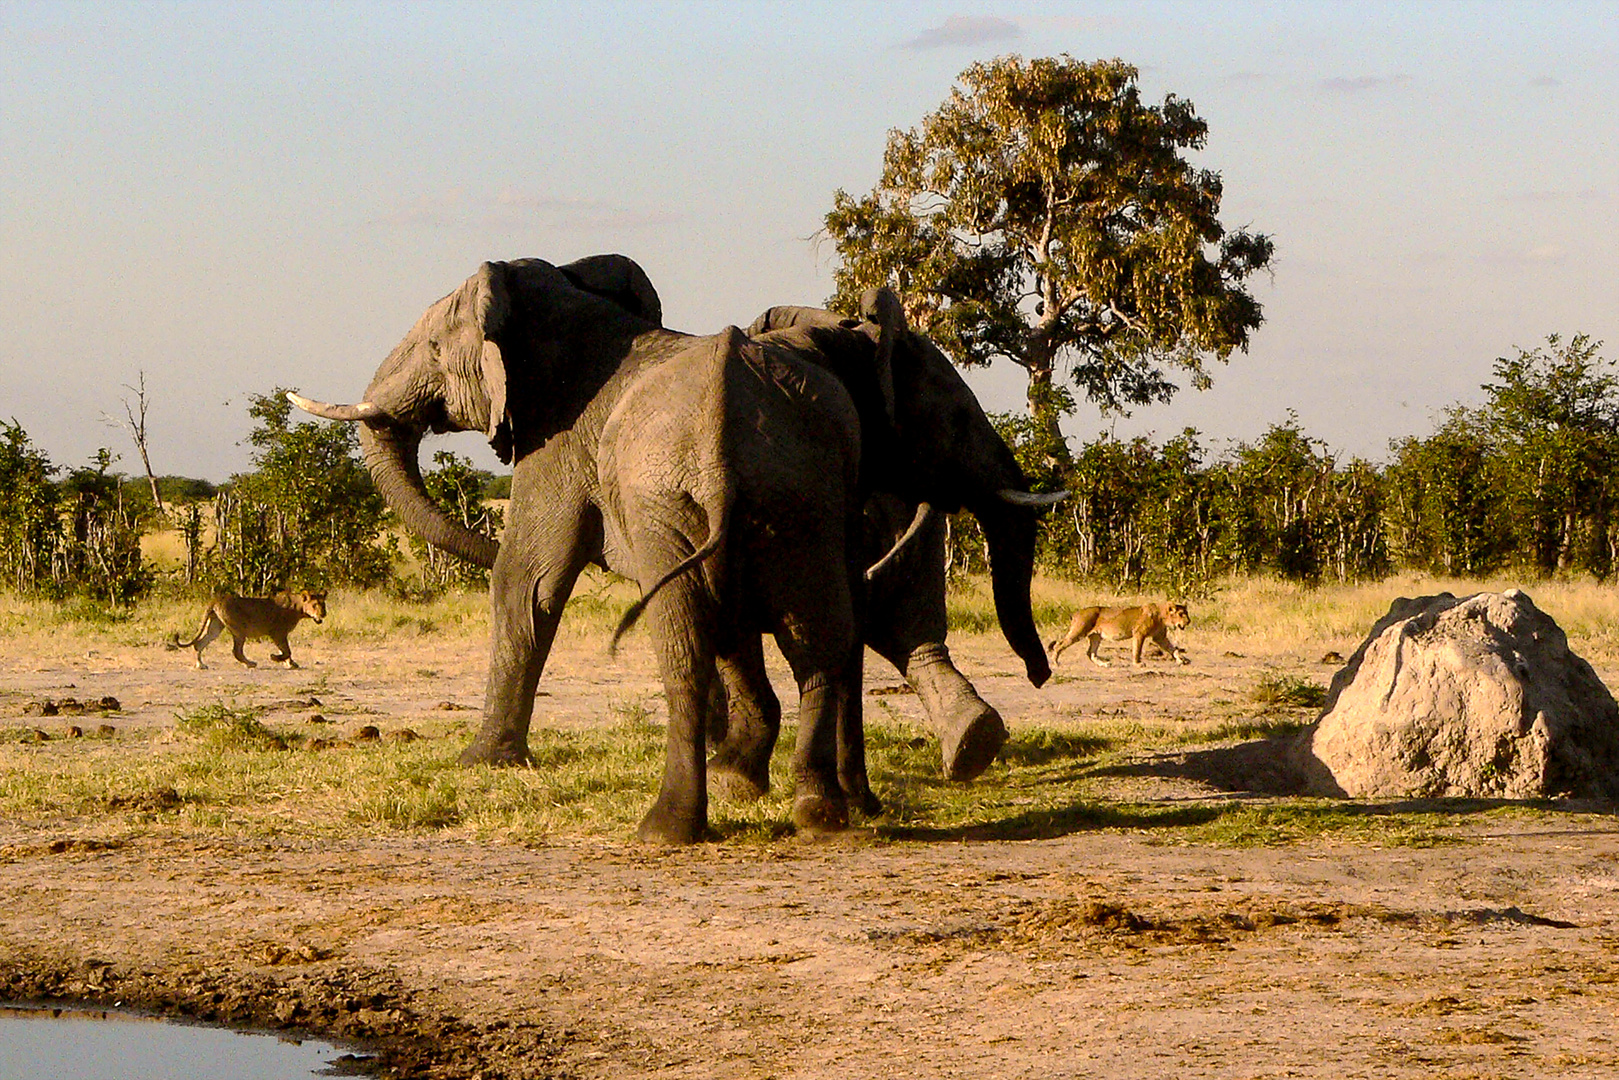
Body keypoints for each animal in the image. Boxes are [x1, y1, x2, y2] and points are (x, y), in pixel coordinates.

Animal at [167, 592, 325, 667]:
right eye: (315, 605)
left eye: (323, 604)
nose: (323, 614)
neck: (298, 607)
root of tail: (217, 599)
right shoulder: (278, 633)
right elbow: (286, 651)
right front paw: (276, 658)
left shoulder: (280, 634)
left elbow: (287, 651)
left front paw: (291, 664)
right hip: (239, 629)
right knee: (236, 651)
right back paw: (250, 663)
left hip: (215, 626)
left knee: (200, 643)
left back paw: (200, 665)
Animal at [1049, 599, 1191, 667]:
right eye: (1181, 614)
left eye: (1186, 613)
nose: (1189, 621)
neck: (1162, 616)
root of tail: (1077, 613)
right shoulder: (1139, 633)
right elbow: (1137, 650)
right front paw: (1138, 664)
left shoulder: (1159, 637)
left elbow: (1173, 649)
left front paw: (1181, 660)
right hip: (1079, 631)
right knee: (1059, 645)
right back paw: (1055, 662)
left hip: (1096, 637)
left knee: (1091, 653)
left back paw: (1105, 664)